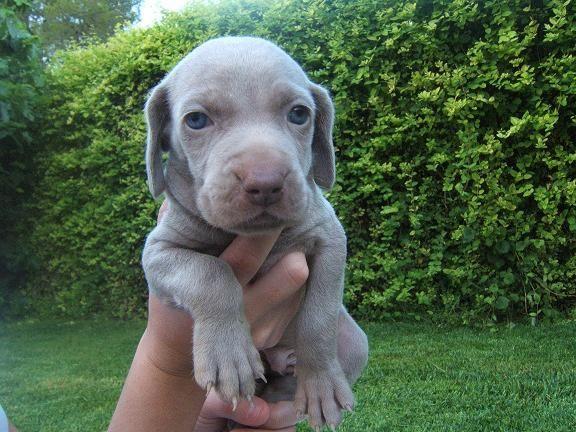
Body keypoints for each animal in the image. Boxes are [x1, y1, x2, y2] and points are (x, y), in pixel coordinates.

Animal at [143, 37, 368, 428]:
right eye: (196, 120)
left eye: (299, 114)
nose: (265, 182)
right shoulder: (158, 251)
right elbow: (210, 273)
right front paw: (228, 356)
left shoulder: (330, 237)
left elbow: (319, 316)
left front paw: (320, 384)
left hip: (355, 343)